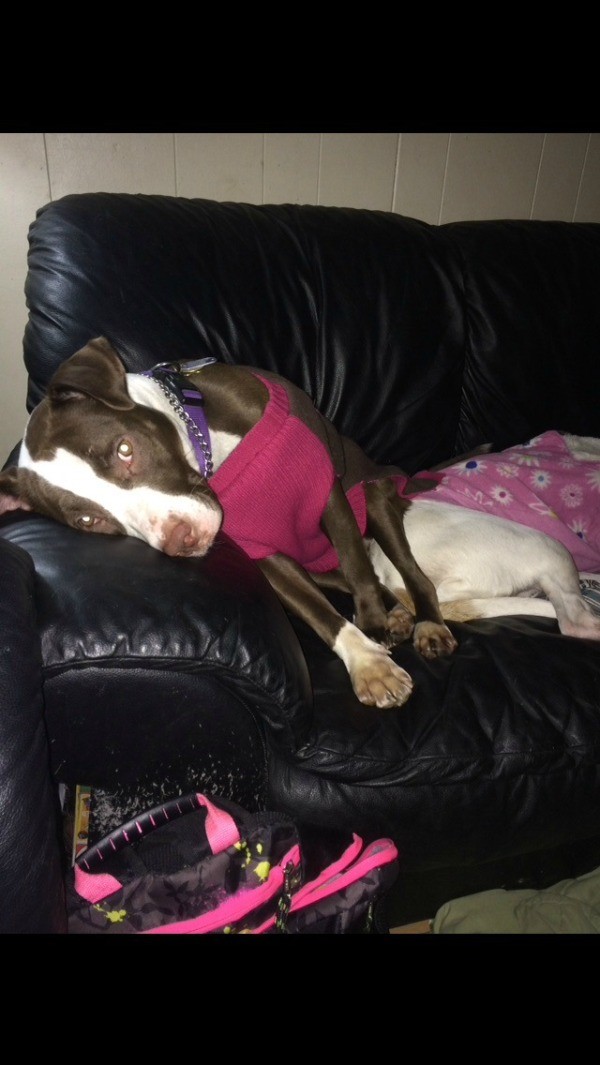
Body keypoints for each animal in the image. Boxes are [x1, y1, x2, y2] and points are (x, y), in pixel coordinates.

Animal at [0, 338, 596, 707]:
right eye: (88, 520)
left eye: (124, 450)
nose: (181, 542)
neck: (214, 448)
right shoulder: (264, 552)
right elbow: (318, 610)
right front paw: (367, 659)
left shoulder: (324, 488)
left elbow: (357, 564)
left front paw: (374, 627)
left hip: (376, 492)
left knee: (409, 575)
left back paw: (422, 622)